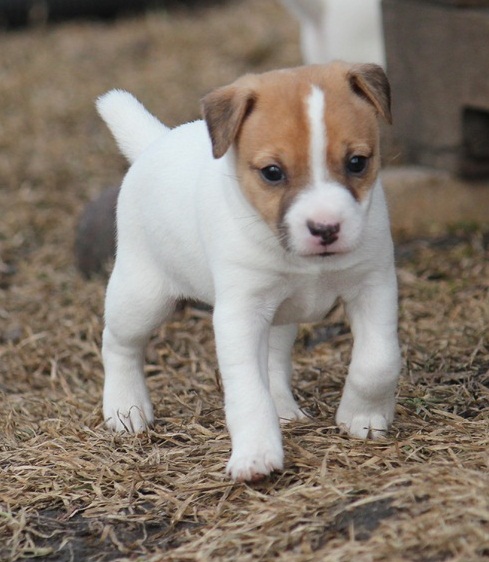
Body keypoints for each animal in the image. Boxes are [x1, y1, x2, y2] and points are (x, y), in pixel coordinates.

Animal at [96, 61, 400, 482]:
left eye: (357, 162)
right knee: (118, 343)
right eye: (272, 172)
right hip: (142, 296)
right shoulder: (239, 315)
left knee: (272, 360)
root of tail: (157, 141)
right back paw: (125, 407)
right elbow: (247, 391)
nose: (325, 229)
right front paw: (256, 452)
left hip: (279, 316)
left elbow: (378, 361)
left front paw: (363, 416)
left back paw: (284, 408)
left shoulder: (374, 287)